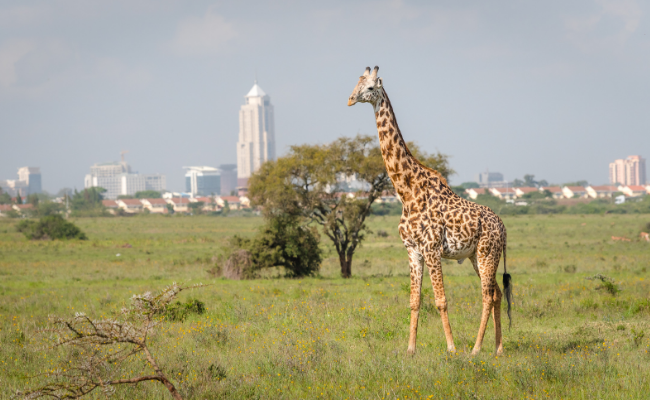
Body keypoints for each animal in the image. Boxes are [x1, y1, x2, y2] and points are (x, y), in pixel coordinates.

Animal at [346, 66, 508, 356]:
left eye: (370, 88)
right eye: (356, 84)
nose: (350, 100)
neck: (406, 191)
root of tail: (503, 226)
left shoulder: (432, 249)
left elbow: (441, 300)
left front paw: (451, 348)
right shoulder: (412, 250)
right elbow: (414, 300)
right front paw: (410, 349)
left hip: (486, 252)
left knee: (487, 295)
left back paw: (476, 349)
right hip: (476, 256)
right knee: (497, 293)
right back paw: (498, 349)